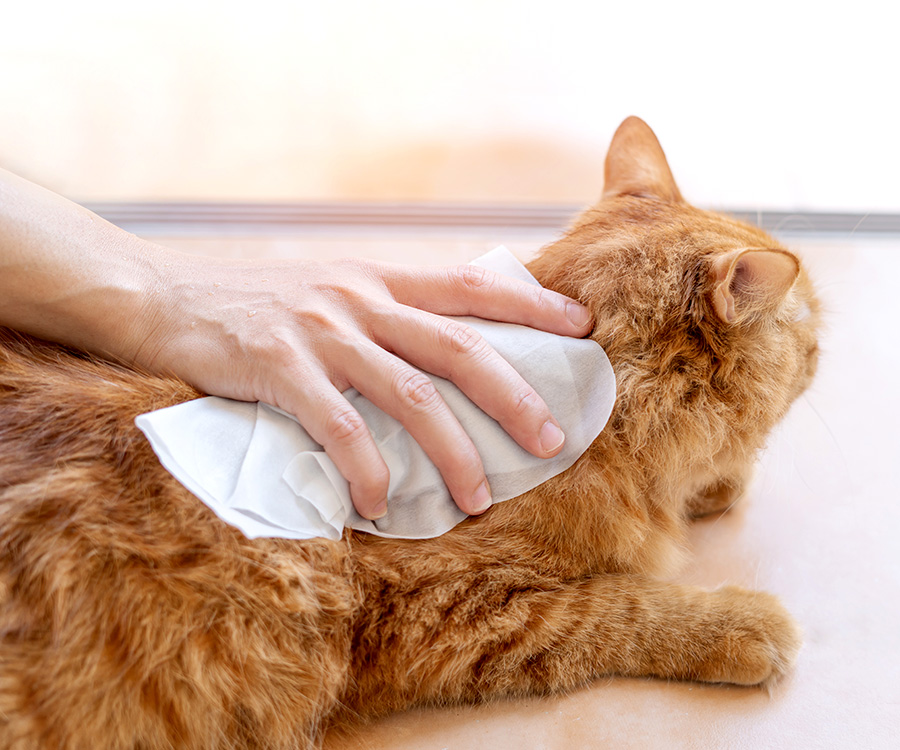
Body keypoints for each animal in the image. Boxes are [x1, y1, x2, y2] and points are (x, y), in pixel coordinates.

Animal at [0, 119, 820, 750]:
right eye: (810, 323)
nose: (822, 346)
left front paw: (713, 491)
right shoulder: (444, 615)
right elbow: (618, 608)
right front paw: (737, 622)